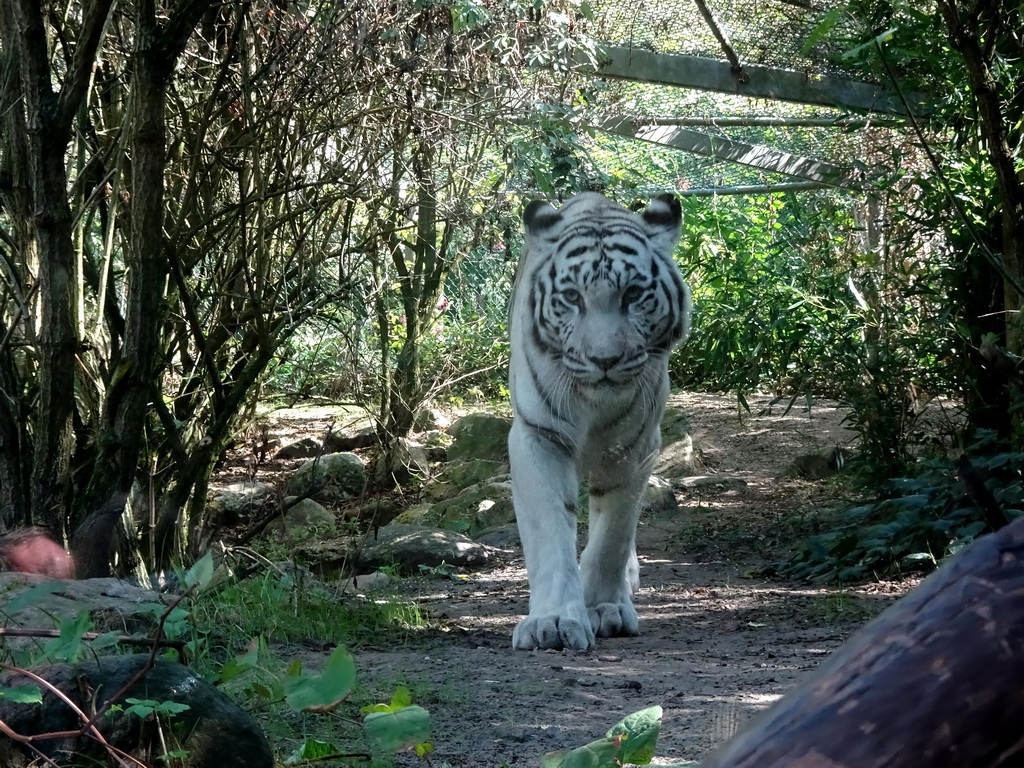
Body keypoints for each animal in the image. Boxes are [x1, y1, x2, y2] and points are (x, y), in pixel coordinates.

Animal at [507, 192, 692, 651]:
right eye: (572, 297)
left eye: (634, 294)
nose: (604, 359)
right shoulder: (539, 436)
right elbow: (551, 529)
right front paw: (553, 622)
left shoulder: (634, 446)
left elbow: (613, 535)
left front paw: (604, 608)